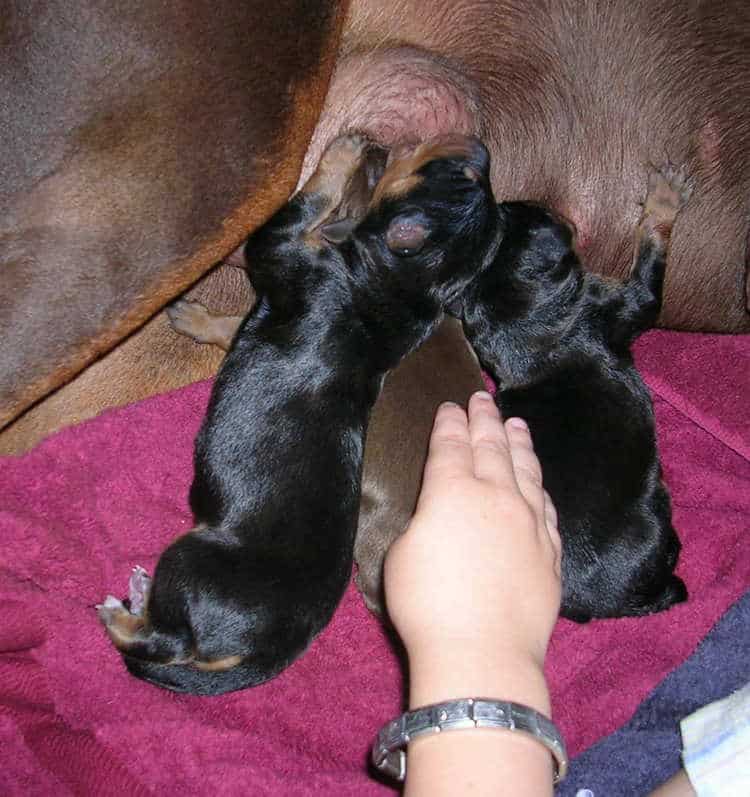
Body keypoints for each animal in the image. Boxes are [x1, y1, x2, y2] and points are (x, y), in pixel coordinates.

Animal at [100, 132, 500, 692]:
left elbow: (307, 201)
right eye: (469, 175)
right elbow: (226, 326)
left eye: (446, 169)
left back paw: (120, 612)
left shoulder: (279, 248)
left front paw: (343, 150)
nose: (480, 144)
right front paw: (195, 318)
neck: (401, 288)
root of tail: (270, 650)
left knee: (165, 640)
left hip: (188, 559)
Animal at [458, 162, 692, 620]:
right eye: (541, 211)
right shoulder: (624, 305)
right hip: (654, 514)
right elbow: (653, 250)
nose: (501, 195)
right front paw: (664, 199)